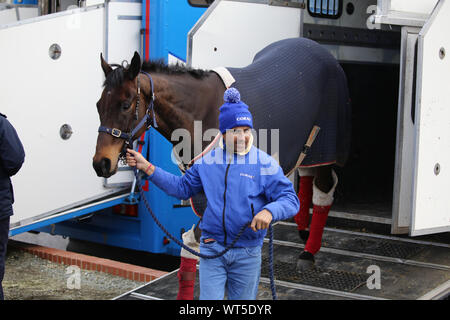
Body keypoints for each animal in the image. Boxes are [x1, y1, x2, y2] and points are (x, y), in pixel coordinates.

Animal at [92, 38, 352, 276]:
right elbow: (192, 245)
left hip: (326, 146)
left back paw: (308, 252)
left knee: (323, 188)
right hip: (308, 148)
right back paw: (303, 231)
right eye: (98, 105)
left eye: (125, 105)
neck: (203, 115)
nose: (101, 163)